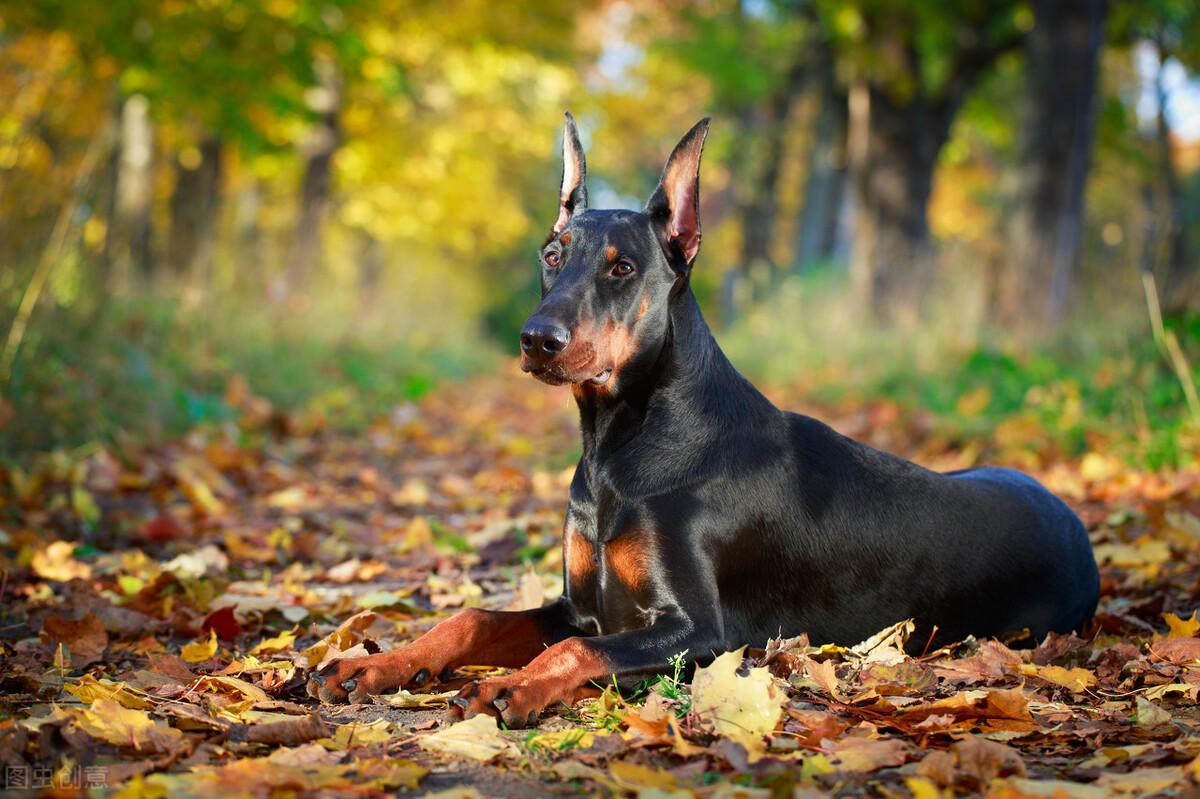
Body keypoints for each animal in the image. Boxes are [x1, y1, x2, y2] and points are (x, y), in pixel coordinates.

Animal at [307, 113, 1099, 729]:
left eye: (623, 268)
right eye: (552, 254)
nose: (537, 339)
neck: (619, 447)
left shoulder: (702, 632)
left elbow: (574, 650)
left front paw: (512, 686)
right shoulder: (581, 605)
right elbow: (472, 618)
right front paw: (374, 664)